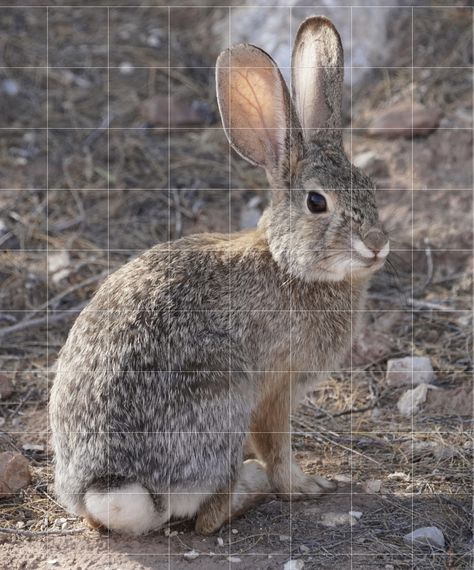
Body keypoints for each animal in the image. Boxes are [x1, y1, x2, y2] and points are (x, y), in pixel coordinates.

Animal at [50, 15, 388, 536]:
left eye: (370, 187)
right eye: (317, 202)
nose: (377, 242)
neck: (287, 263)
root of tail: (109, 486)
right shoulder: (275, 387)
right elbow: (276, 444)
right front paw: (305, 486)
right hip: (223, 394)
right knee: (209, 516)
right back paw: (252, 489)